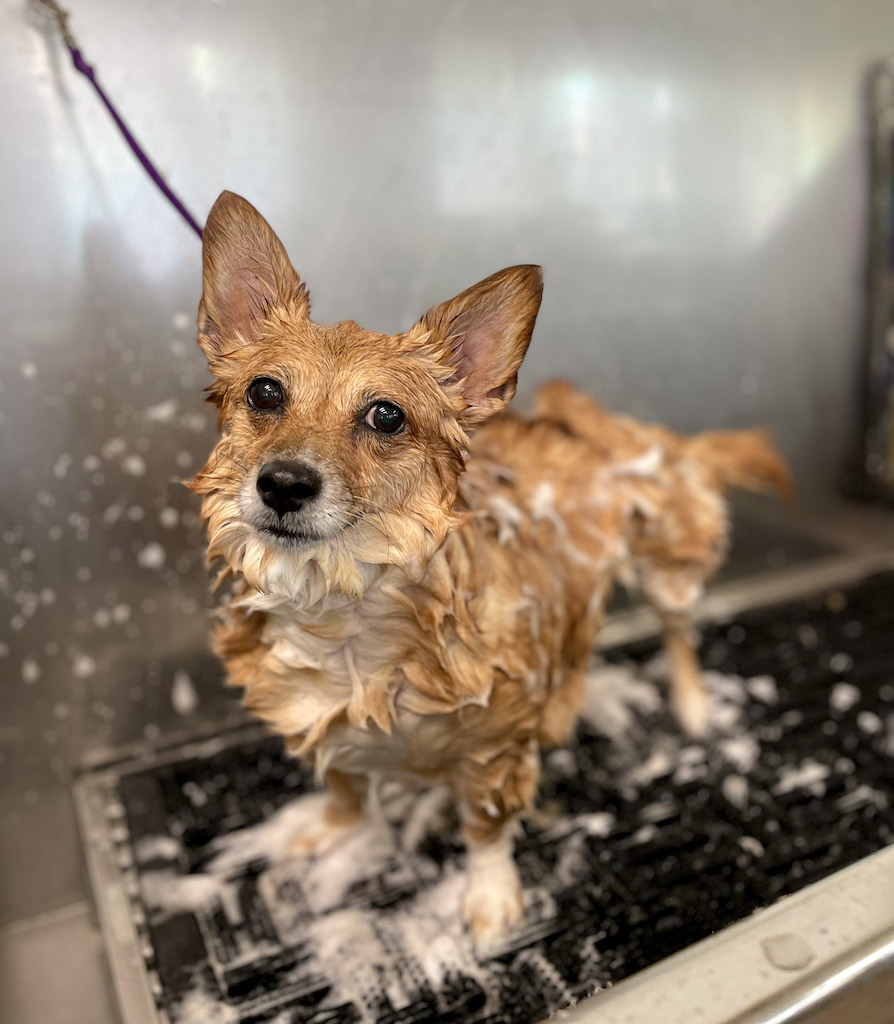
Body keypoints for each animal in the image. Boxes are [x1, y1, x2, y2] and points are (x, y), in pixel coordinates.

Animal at [188, 190, 786, 950]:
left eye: (386, 416)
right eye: (265, 393)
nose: (284, 484)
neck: (345, 620)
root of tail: (628, 428)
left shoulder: (496, 752)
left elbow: (486, 830)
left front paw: (491, 897)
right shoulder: (317, 724)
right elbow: (346, 790)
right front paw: (327, 831)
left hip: (668, 570)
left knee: (679, 634)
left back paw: (693, 703)